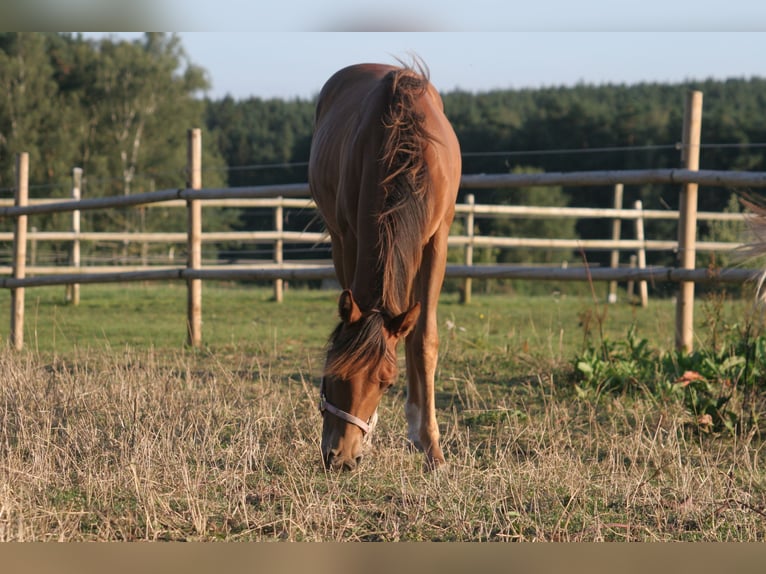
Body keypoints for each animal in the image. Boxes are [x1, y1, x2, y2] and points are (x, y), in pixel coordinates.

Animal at [308, 61, 461, 471]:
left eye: (386, 383)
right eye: (332, 372)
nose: (340, 458)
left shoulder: (436, 240)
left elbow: (424, 338)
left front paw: (433, 448)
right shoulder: (349, 237)